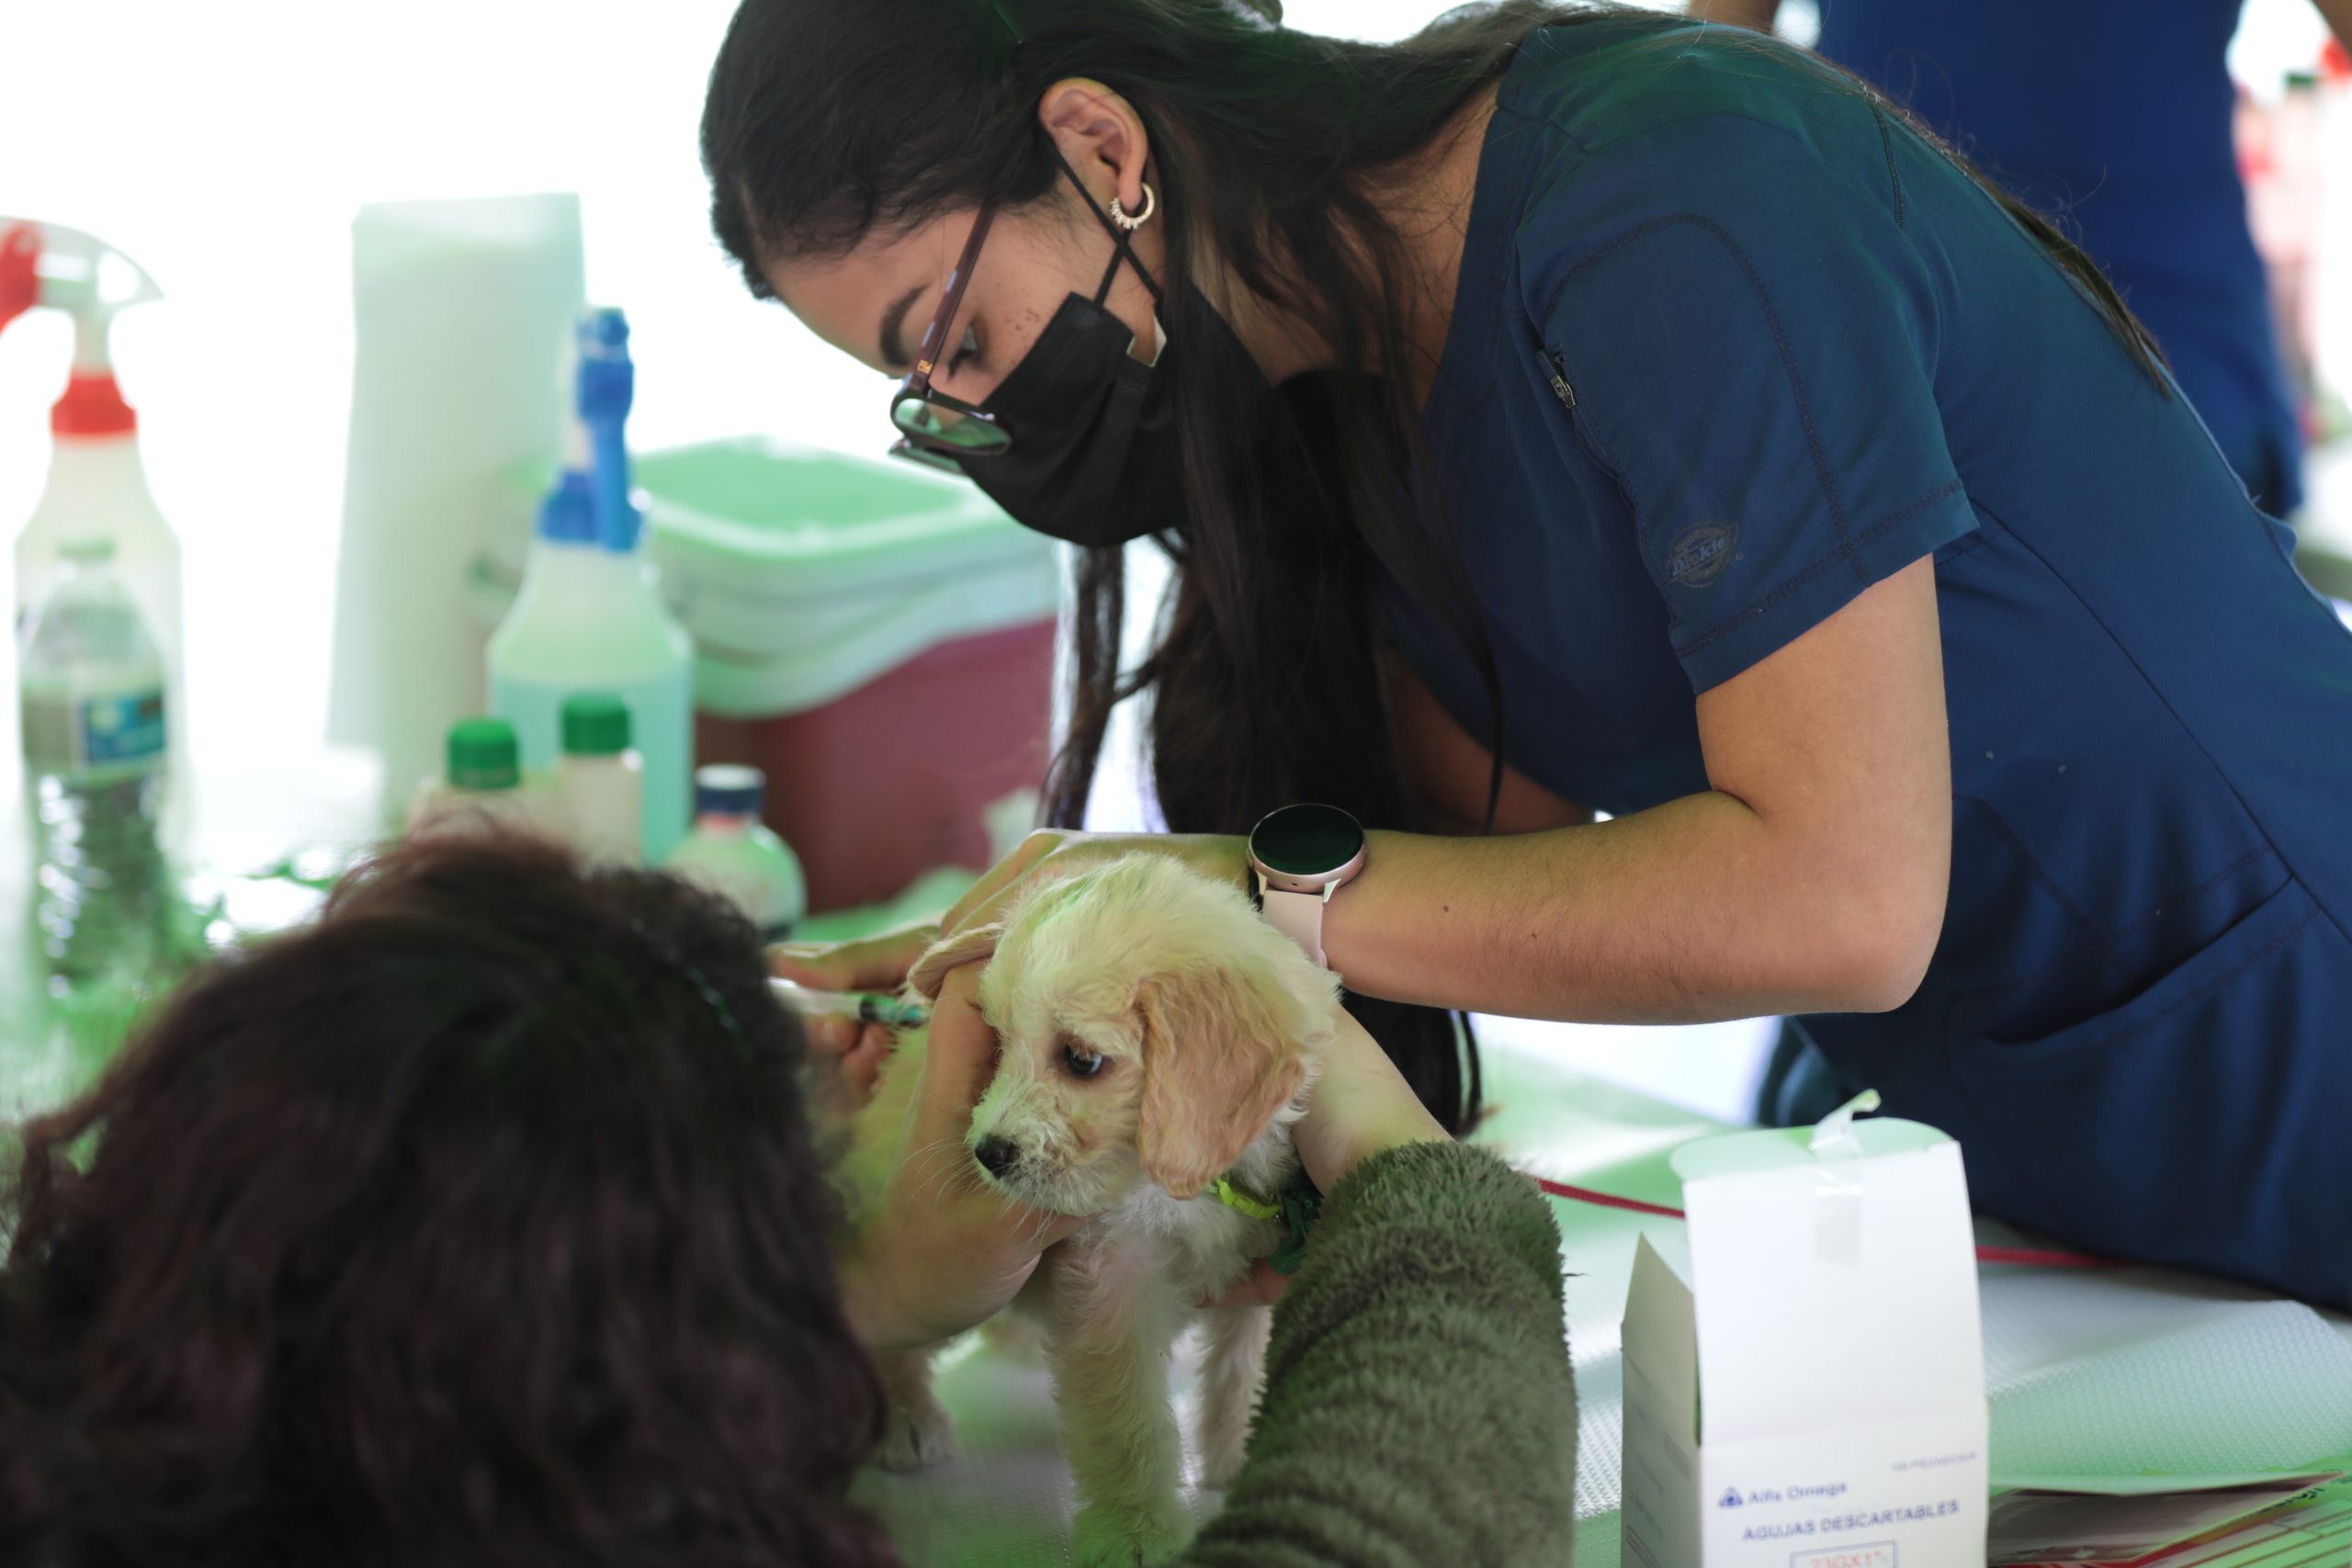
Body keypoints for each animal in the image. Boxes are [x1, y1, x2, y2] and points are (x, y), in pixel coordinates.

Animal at [842, 851, 1345, 1568]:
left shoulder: (1262, 1261)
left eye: (1080, 1060)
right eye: (996, 1044)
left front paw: (1238, 1457)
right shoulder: (1113, 1277)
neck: (1186, 1188)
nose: (988, 1152)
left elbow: (1240, 1368)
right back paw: (907, 1418)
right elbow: (1127, 1418)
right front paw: (1136, 1532)